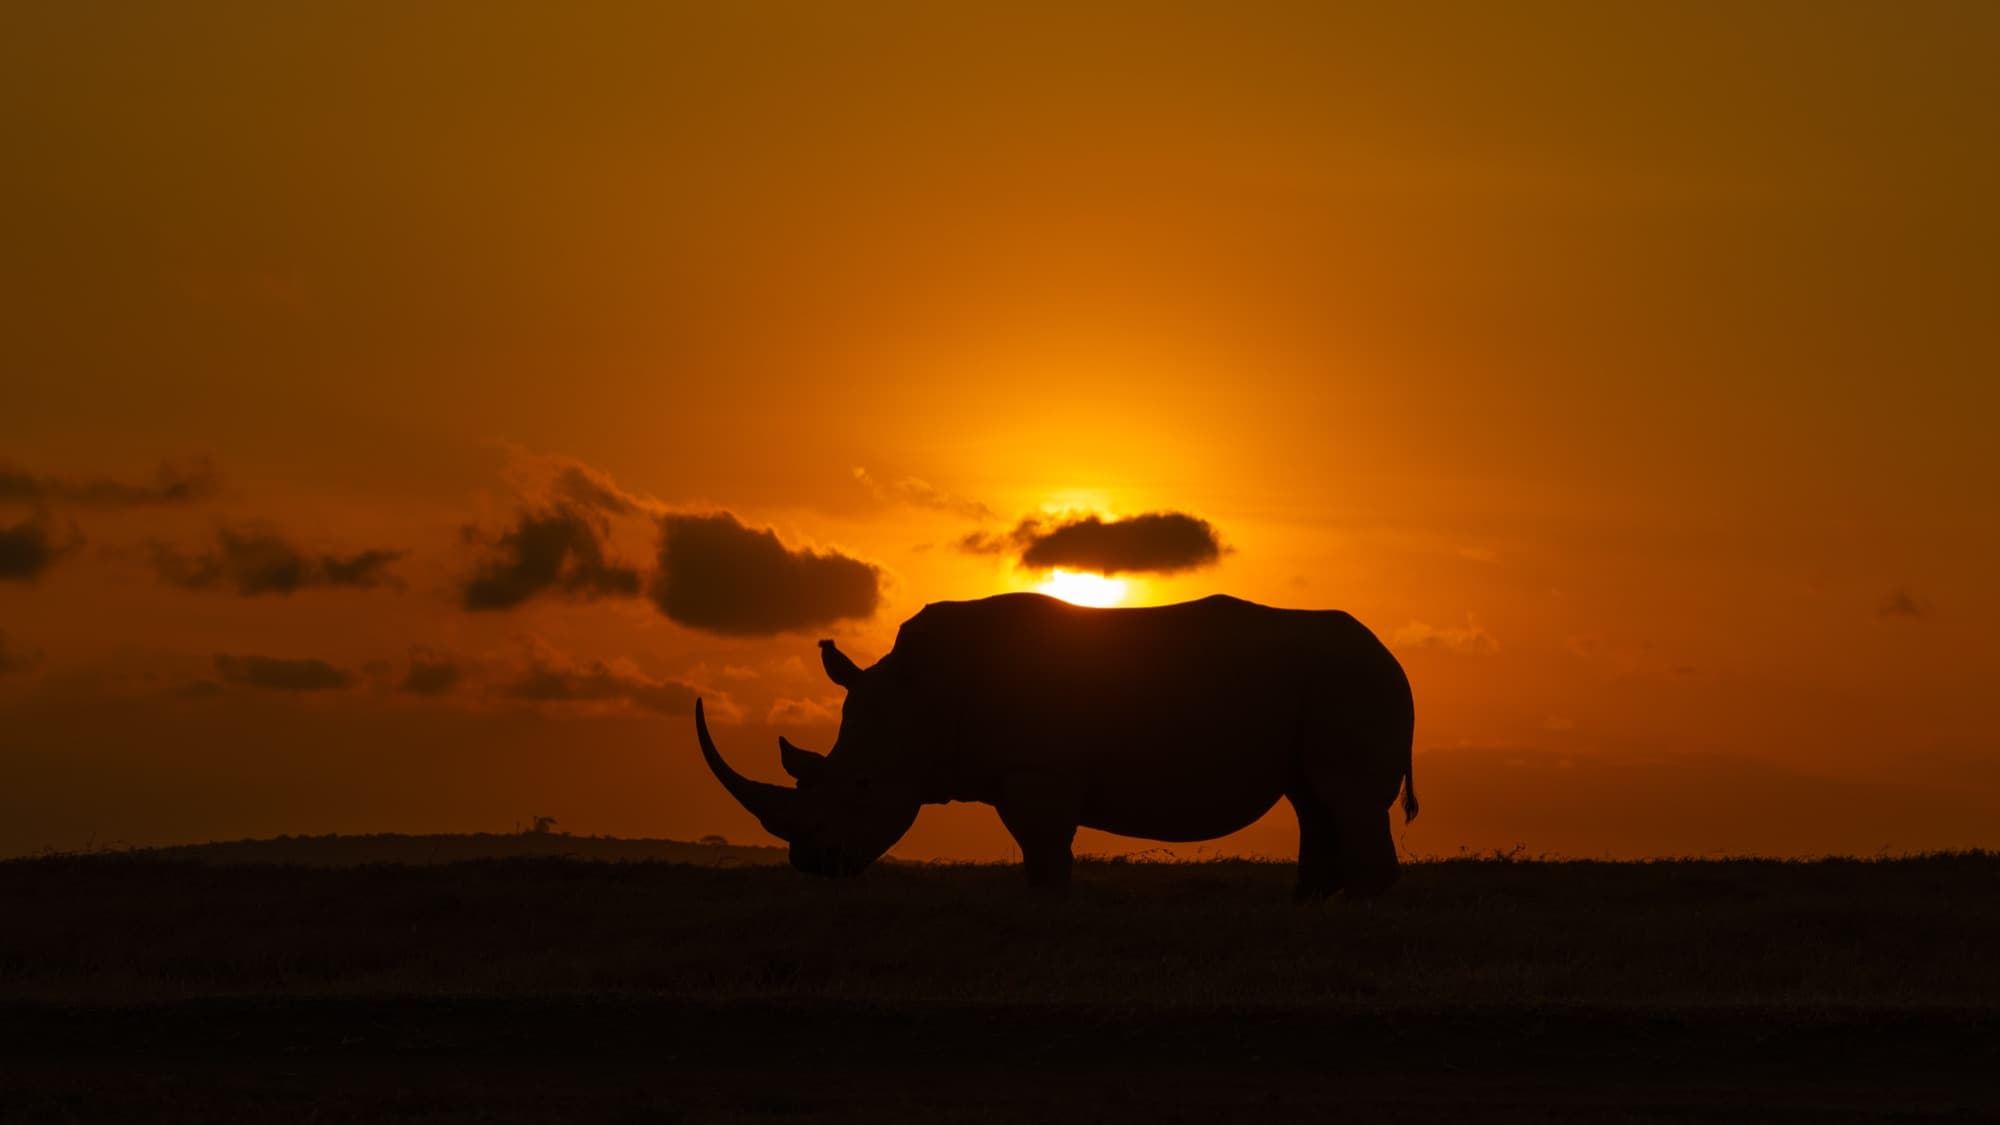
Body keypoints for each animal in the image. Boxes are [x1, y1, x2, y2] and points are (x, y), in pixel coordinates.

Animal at [696, 592, 1417, 898]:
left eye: (861, 787)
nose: (812, 862)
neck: (916, 698)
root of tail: (1392, 653)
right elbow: (1040, 849)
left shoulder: (1038, 768)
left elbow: (1043, 849)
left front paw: (1048, 907)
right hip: (1331, 684)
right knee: (1314, 801)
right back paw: (1311, 909)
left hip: (1354, 680)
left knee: (1345, 799)